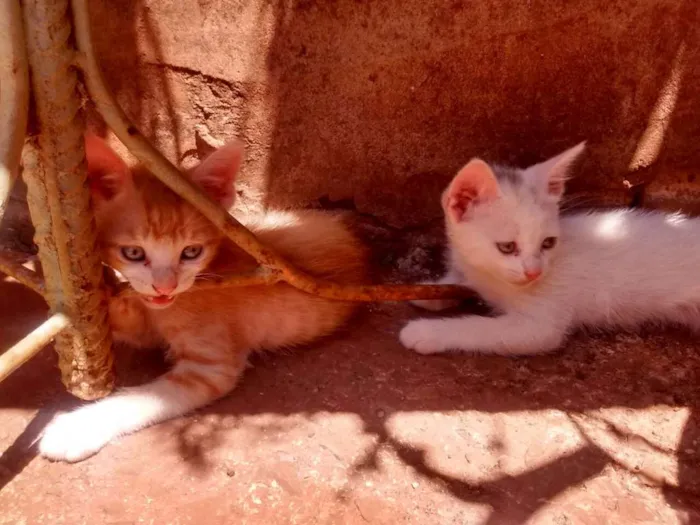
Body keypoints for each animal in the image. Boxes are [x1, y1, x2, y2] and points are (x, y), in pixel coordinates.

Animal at [39, 136, 366, 462]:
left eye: (191, 252)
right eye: (133, 253)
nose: (165, 287)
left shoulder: (211, 368)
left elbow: (146, 397)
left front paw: (78, 428)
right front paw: (97, 291)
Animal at [400, 142, 700, 356]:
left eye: (548, 243)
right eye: (507, 247)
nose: (534, 273)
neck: (491, 278)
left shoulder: (540, 326)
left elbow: (479, 328)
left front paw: (426, 332)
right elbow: (457, 281)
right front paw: (430, 291)